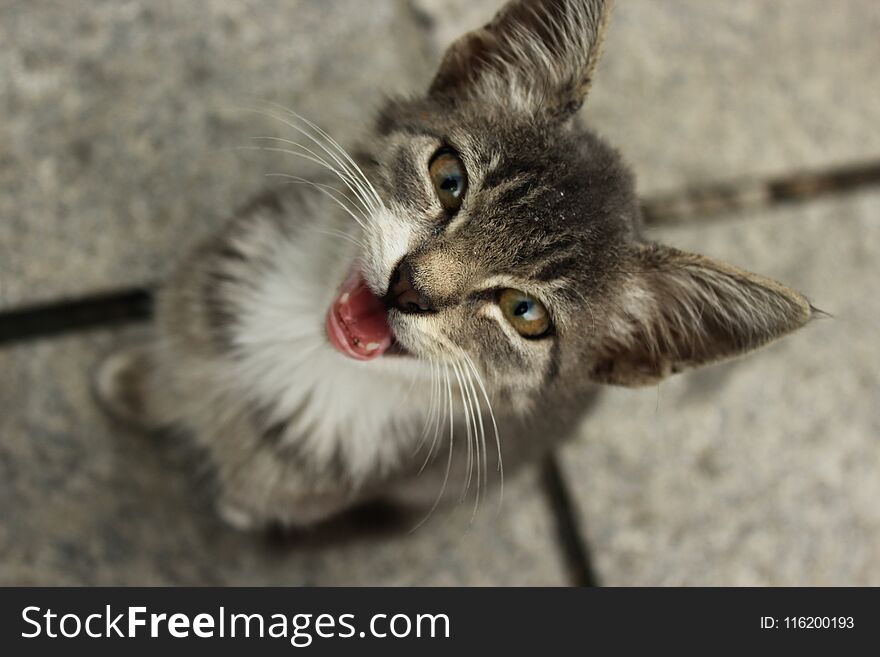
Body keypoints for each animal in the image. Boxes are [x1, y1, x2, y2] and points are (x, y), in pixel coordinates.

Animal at [94, 0, 812, 532]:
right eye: (449, 178)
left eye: (525, 313)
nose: (409, 287)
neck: (301, 351)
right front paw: (139, 383)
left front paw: (238, 502)